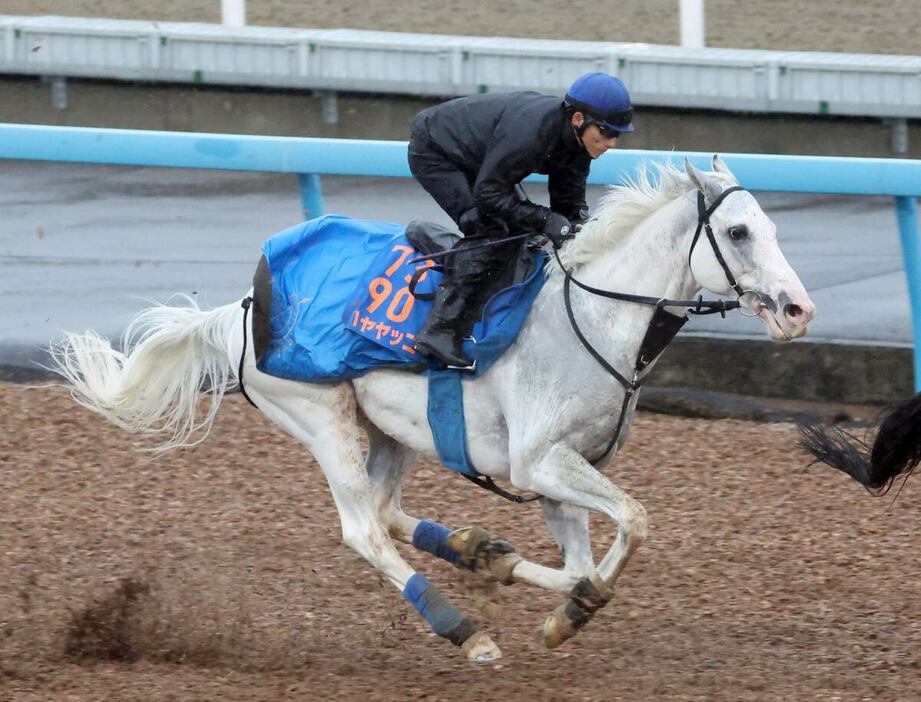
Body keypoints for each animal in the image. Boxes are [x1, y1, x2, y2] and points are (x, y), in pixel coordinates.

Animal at [50, 158, 812, 664]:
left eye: (773, 227)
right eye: (739, 233)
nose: (798, 310)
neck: (593, 319)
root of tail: (242, 309)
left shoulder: (551, 473)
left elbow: (578, 566)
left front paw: (550, 601)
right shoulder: (541, 462)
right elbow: (633, 519)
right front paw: (570, 613)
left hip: (395, 429)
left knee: (387, 509)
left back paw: (477, 551)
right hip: (319, 416)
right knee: (363, 529)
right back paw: (464, 631)